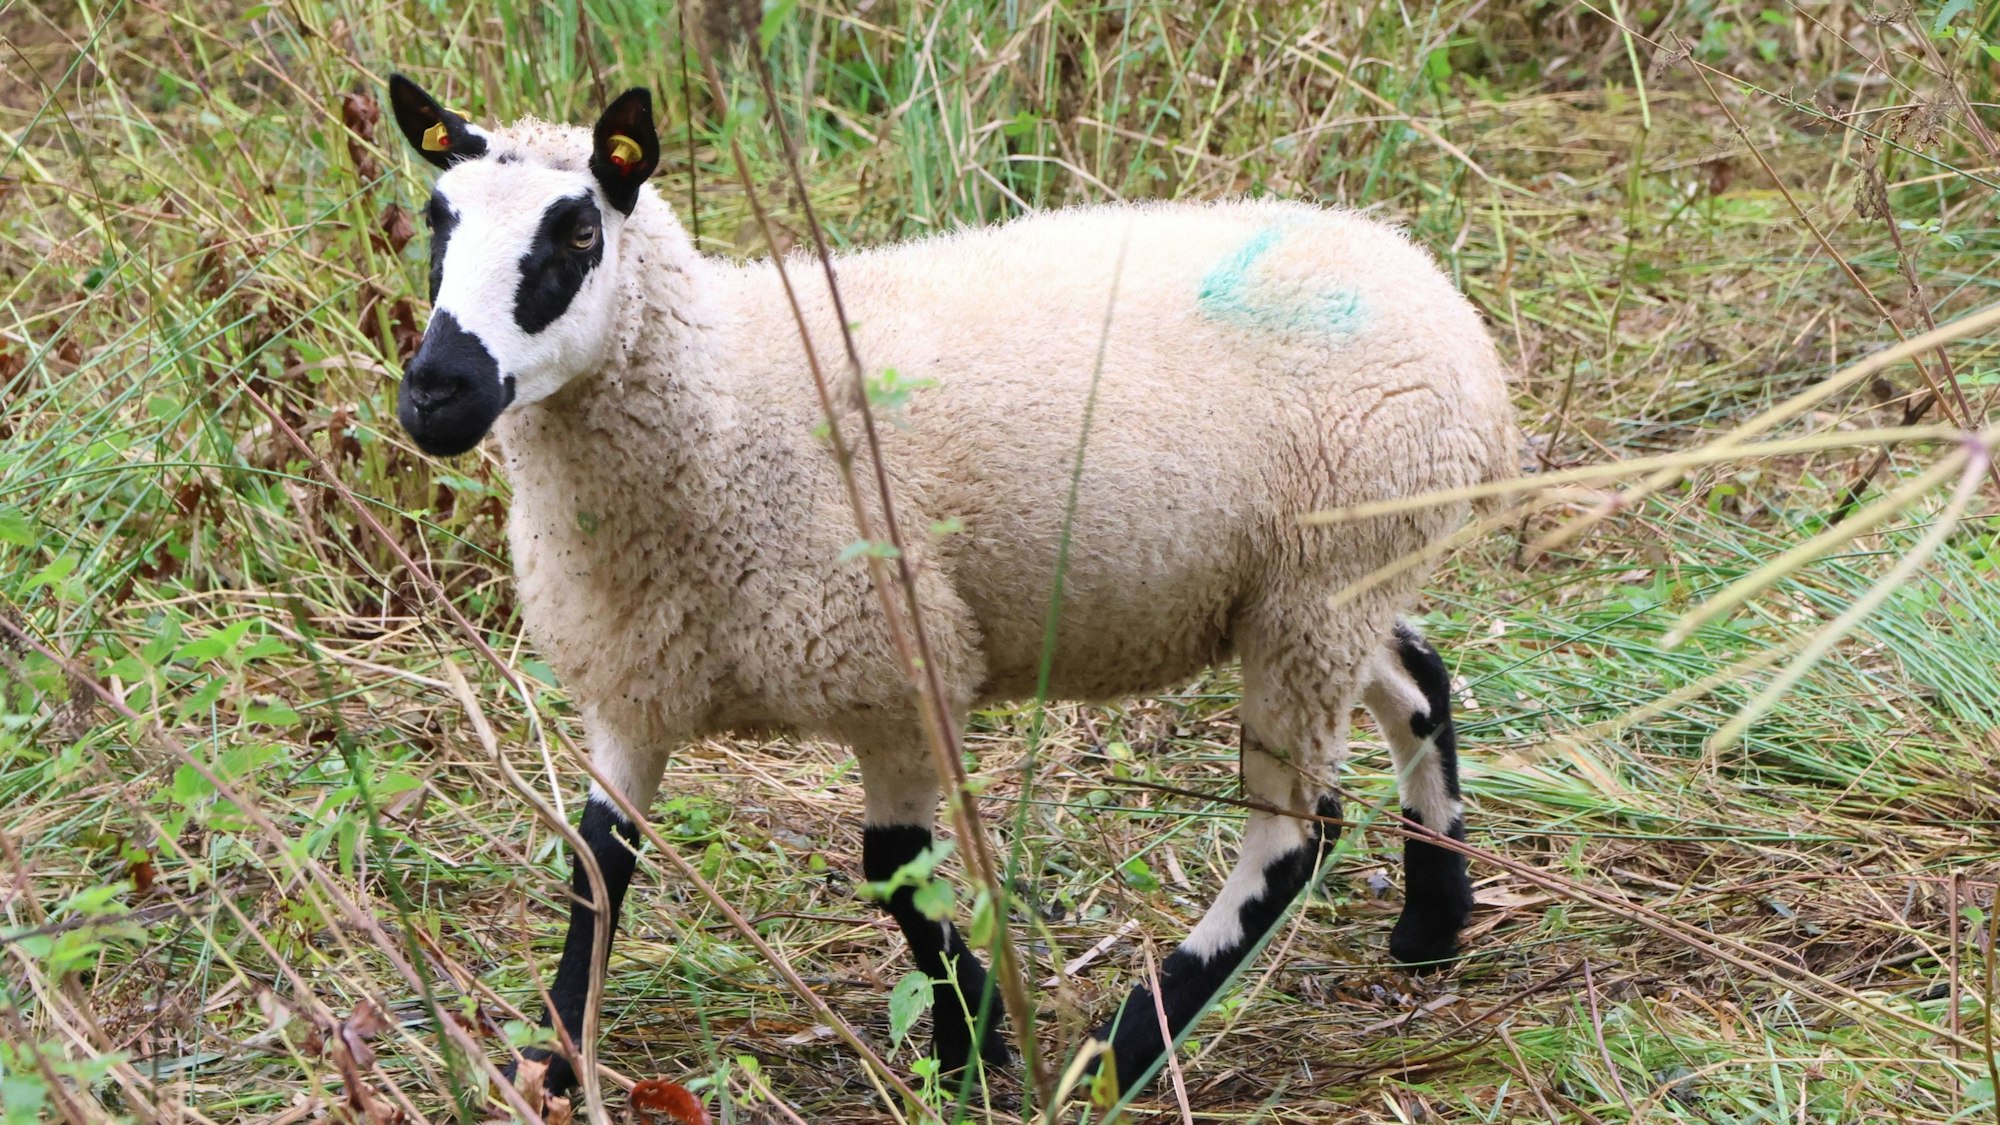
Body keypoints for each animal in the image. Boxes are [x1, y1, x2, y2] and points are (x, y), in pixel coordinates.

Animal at [384, 74, 1516, 1098]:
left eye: (578, 233)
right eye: (436, 222)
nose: (437, 392)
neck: (732, 395)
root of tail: (1423, 279)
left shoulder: (895, 670)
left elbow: (890, 867)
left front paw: (972, 1037)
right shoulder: (632, 684)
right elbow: (598, 864)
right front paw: (547, 1061)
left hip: (1315, 588)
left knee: (1292, 834)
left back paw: (1122, 1052)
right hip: (1325, 583)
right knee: (1417, 681)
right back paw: (1430, 922)